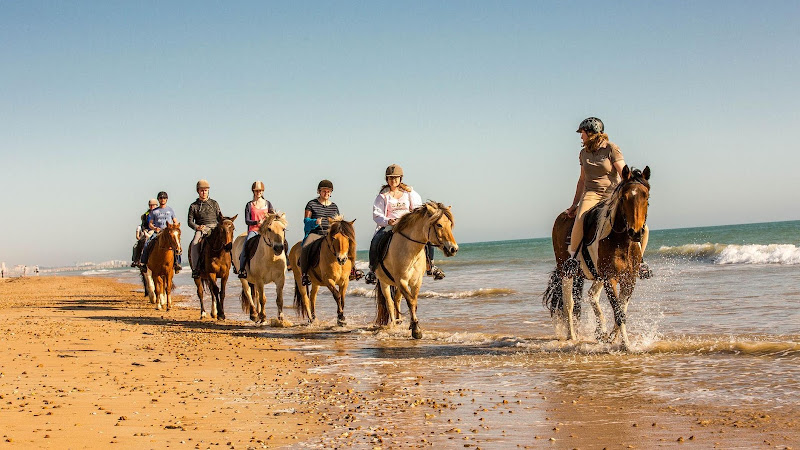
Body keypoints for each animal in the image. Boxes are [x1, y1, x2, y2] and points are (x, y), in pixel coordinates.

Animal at [373, 201, 458, 339]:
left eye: (450, 225)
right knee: (389, 302)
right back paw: (394, 325)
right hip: (383, 282)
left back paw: (399, 320)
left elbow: (414, 301)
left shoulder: (416, 281)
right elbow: (411, 302)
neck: (410, 250)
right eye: (439, 225)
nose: (453, 249)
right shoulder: (401, 280)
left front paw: (412, 325)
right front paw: (416, 330)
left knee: (397, 299)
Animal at [543, 165, 650, 351]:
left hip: (594, 275)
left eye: (646, 197)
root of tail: (564, 215)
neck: (621, 241)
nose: (635, 233)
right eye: (624, 198)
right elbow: (618, 311)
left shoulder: (629, 278)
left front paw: (613, 338)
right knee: (569, 304)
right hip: (567, 272)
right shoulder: (609, 278)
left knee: (591, 295)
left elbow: (622, 309)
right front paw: (625, 345)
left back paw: (601, 331)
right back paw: (573, 337)